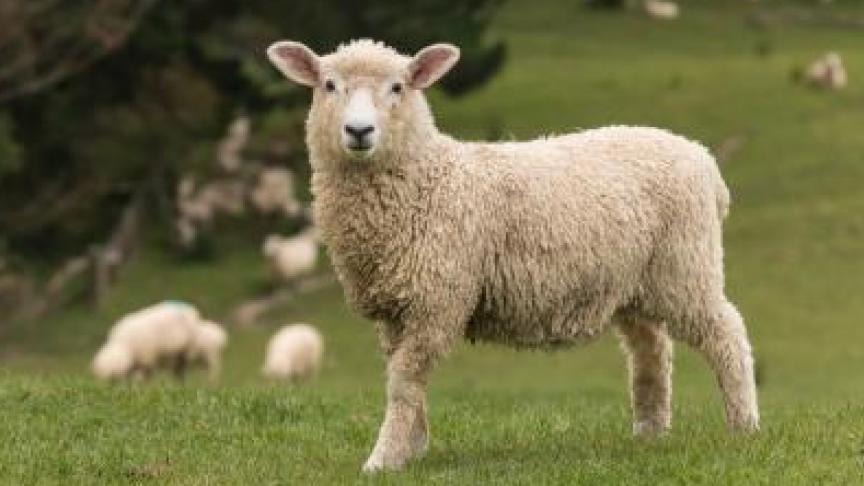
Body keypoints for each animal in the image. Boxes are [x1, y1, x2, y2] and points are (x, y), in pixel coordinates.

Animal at [267, 39, 759, 472]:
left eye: (398, 87)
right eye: (329, 85)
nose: (358, 131)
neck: (426, 179)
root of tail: (703, 159)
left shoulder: (436, 301)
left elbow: (404, 383)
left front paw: (384, 458)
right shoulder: (396, 308)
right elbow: (403, 378)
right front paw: (414, 447)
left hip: (686, 266)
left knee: (726, 333)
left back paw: (744, 427)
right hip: (635, 282)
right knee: (651, 350)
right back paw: (650, 433)